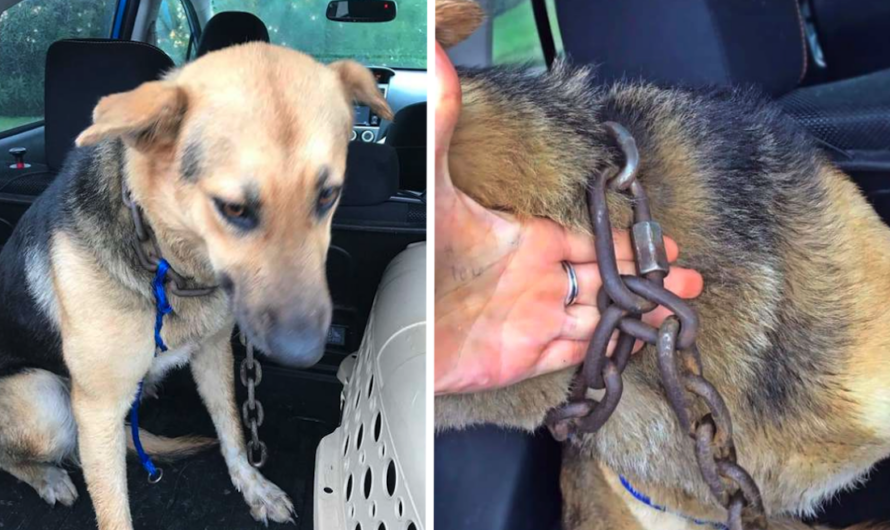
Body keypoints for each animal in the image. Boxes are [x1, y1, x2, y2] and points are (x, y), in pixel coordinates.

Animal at [0, 42, 390, 528]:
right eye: (235, 208)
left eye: (328, 195)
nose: (305, 353)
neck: (166, 260)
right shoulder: (96, 406)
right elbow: (114, 510)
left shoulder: (213, 353)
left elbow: (232, 430)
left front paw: (253, 487)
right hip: (48, 400)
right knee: (20, 454)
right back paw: (47, 476)